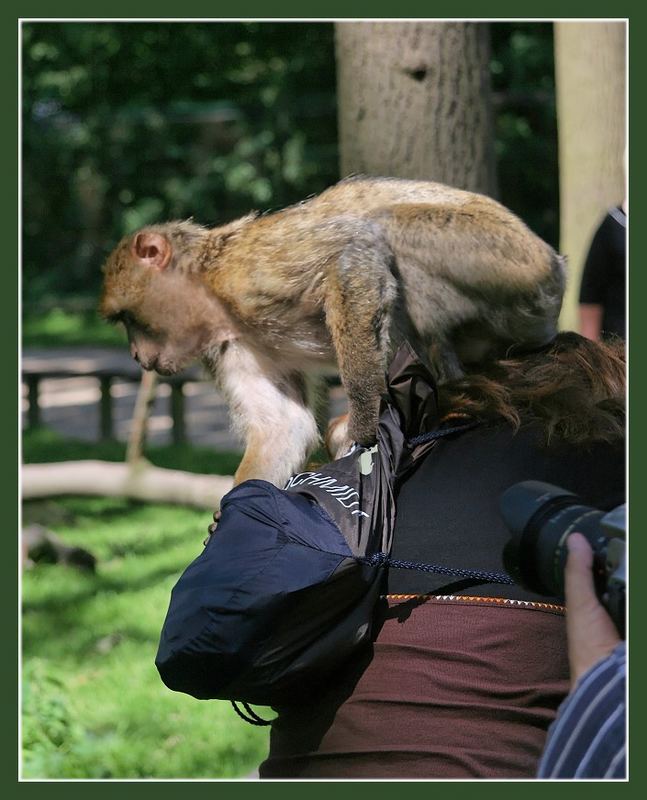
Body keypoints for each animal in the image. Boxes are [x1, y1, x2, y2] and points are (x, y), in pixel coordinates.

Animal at [100, 176, 568, 488]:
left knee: (387, 230)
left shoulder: (245, 273)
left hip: (510, 267)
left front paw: (363, 433)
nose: (136, 355)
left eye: (128, 319)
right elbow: (282, 427)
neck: (209, 290)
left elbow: (352, 251)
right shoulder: (229, 345)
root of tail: (554, 261)